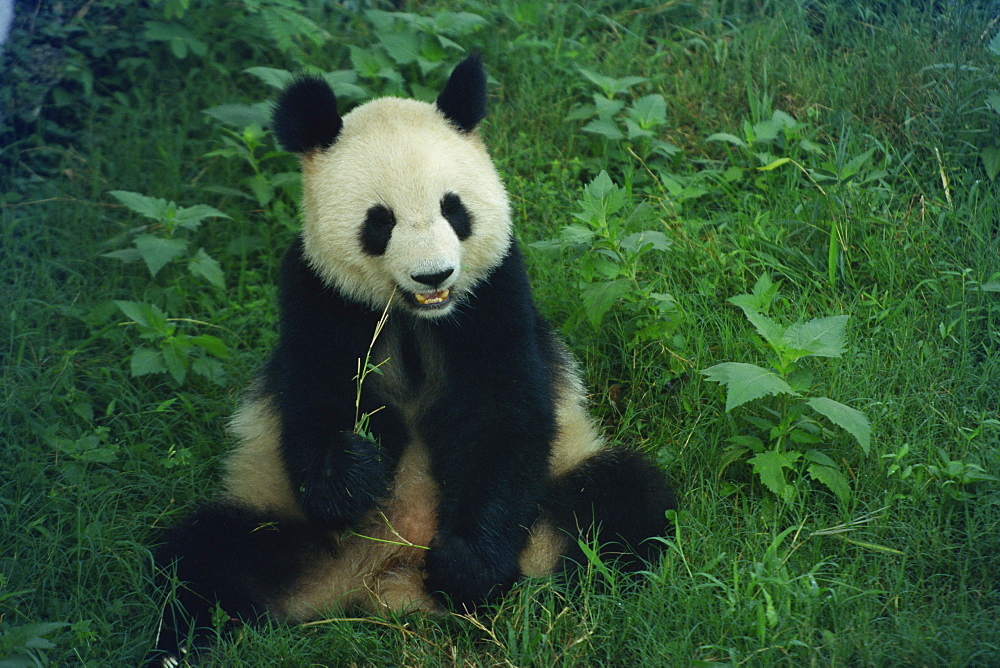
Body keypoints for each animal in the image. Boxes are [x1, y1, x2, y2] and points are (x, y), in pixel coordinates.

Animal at [148, 54, 676, 664]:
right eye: (381, 221)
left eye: (454, 209)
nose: (434, 274)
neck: (415, 315)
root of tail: (388, 576)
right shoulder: (316, 295)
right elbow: (313, 401)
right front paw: (353, 472)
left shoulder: (495, 292)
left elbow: (503, 412)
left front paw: (467, 566)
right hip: (284, 524)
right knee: (206, 556)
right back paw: (180, 645)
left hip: (549, 506)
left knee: (621, 498)